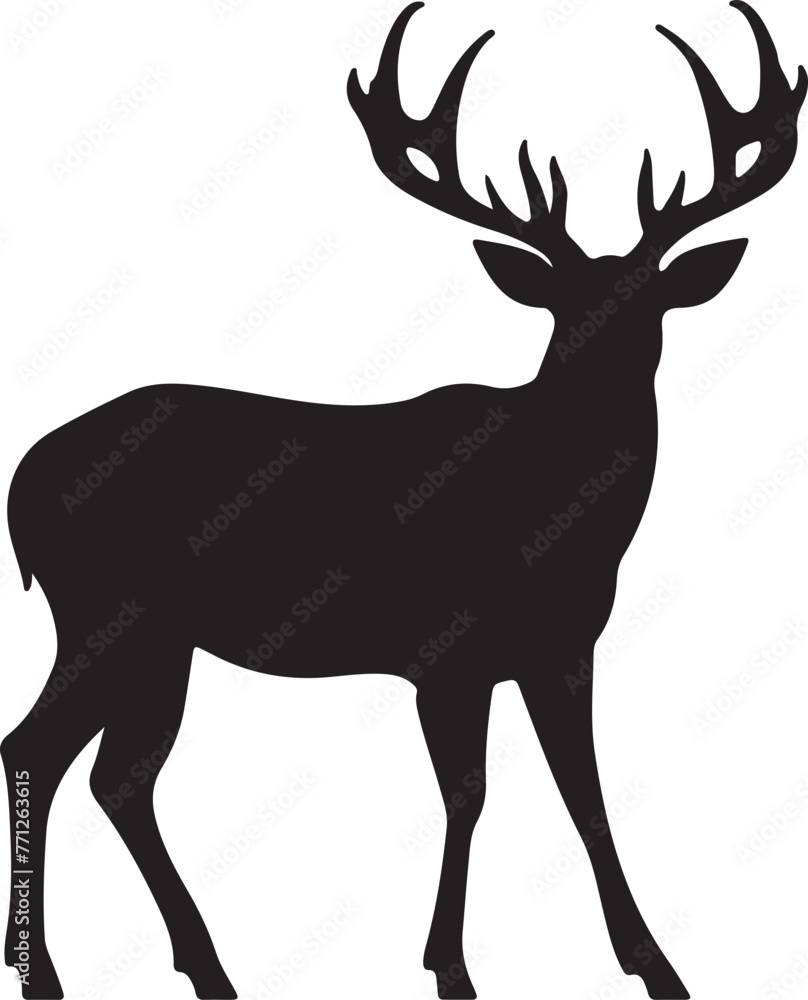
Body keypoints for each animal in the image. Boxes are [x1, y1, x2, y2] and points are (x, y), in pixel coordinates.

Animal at [2, 2, 804, 998]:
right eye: (564, 311)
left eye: (649, 306)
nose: (607, 373)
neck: (559, 525)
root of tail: (23, 478)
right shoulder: (445, 651)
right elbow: (469, 792)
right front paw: (450, 967)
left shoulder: (564, 646)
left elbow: (582, 790)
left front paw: (658, 967)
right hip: (105, 608)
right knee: (38, 748)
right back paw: (46, 971)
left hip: (158, 639)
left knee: (119, 774)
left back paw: (206, 967)